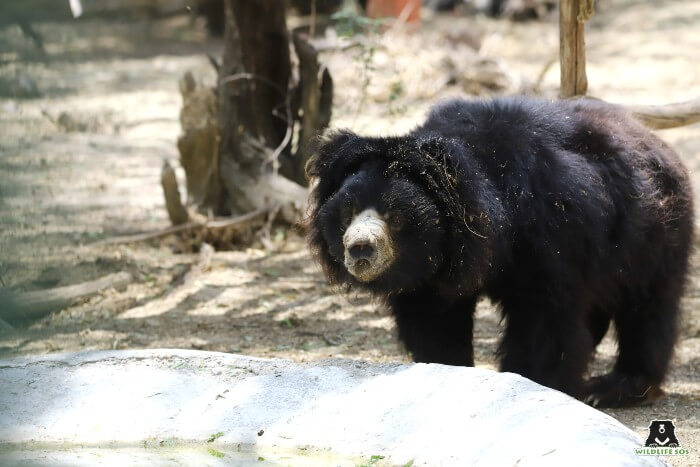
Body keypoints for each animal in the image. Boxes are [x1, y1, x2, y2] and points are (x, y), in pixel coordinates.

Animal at [308, 97, 696, 408]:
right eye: (347, 212)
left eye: (395, 216)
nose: (360, 248)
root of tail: (656, 141)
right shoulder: (436, 268)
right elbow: (434, 319)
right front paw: (448, 369)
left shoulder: (553, 233)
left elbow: (544, 319)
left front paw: (529, 381)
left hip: (654, 235)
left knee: (648, 307)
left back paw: (616, 387)